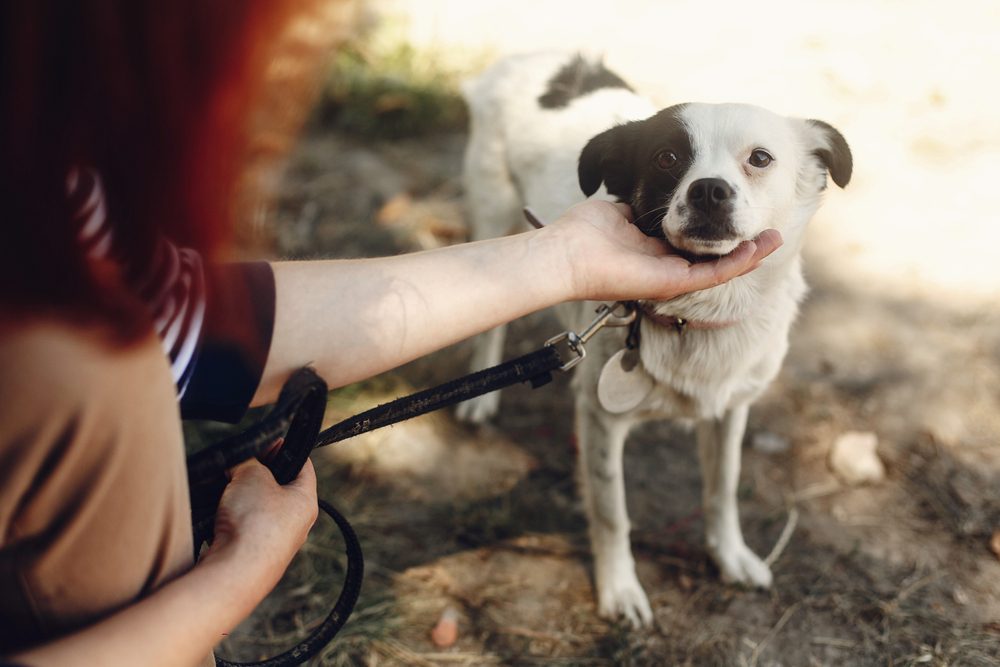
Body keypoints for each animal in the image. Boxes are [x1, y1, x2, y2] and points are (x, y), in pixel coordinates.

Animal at [456, 52, 852, 628]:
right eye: (667, 157)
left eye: (760, 158)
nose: (709, 189)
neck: (698, 315)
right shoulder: (601, 420)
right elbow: (612, 512)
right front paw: (619, 589)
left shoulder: (731, 409)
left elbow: (722, 488)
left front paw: (730, 555)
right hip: (494, 214)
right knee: (490, 314)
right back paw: (479, 398)